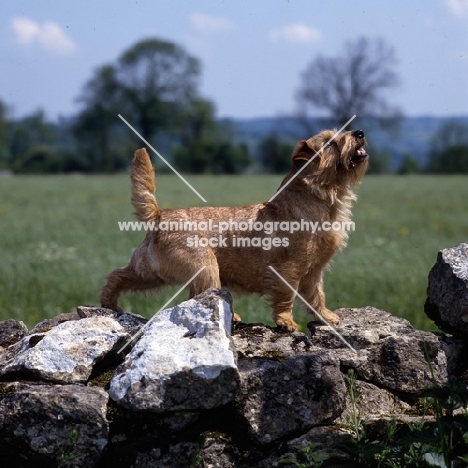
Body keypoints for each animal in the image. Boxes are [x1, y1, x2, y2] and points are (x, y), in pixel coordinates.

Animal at [100, 130, 368, 330]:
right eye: (331, 142)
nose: (359, 132)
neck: (325, 200)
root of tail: (159, 215)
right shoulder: (288, 269)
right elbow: (286, 296)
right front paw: (286, 321)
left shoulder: (314, 272)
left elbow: (316, 296)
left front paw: (326, 316)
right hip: (206, 268)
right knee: (200, 297)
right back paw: (234, 316)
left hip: (149, 272)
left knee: (117, 275)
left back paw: (109, 303)